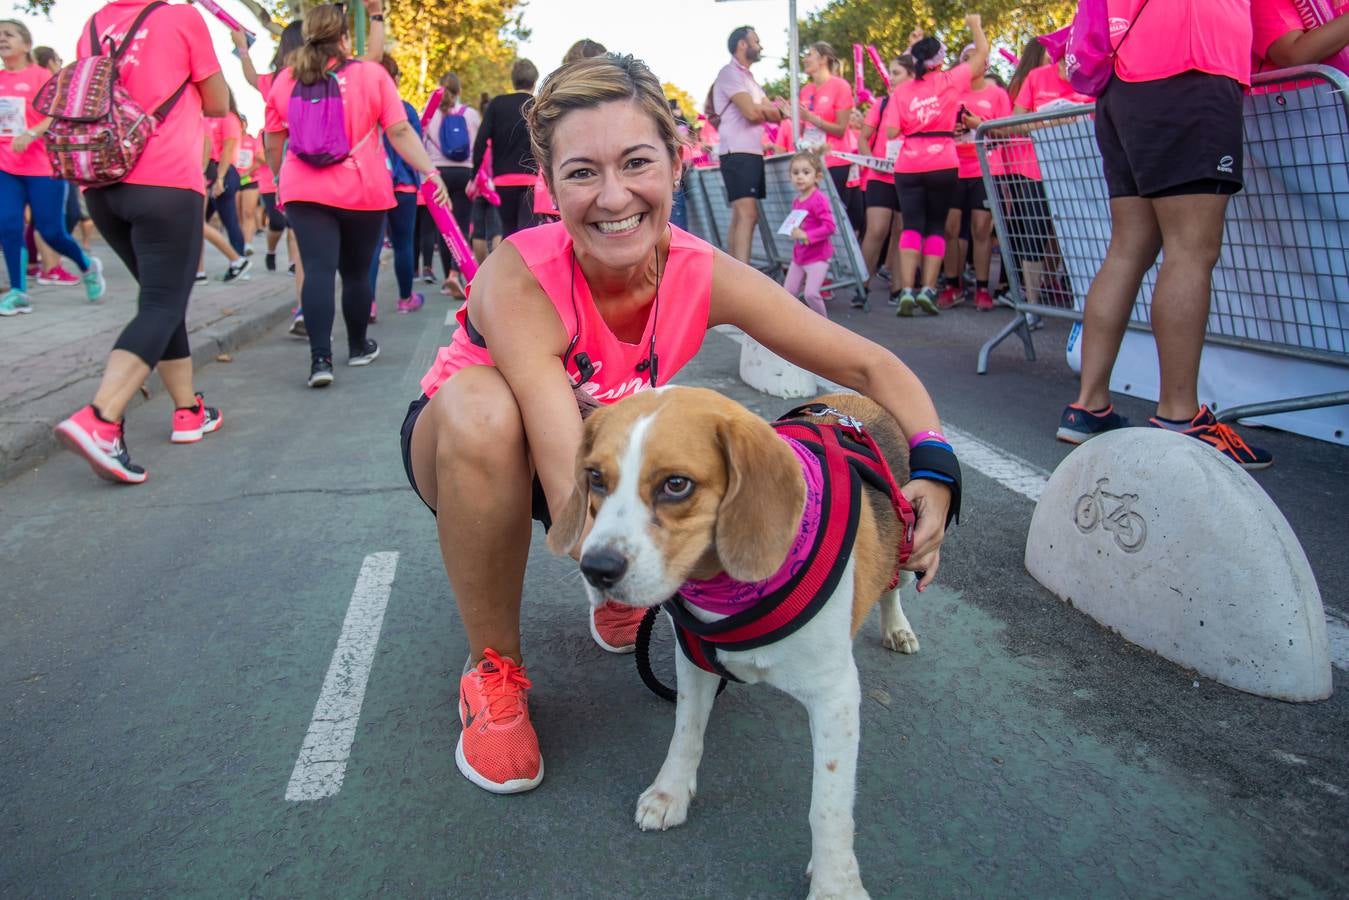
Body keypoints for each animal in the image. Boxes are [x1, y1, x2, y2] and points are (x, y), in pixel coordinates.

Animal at [547, 388, 917, 900]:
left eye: (676, 485)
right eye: (596, 478)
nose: (595, 569)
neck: (731, 587)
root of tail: (851, 400)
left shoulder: (837, 697)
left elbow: (829, 805)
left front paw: (835, 884)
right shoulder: (693, 661)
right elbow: (685, 734)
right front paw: (670, 792)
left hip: (909, 544)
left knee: (894, 585)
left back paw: (898, 626)